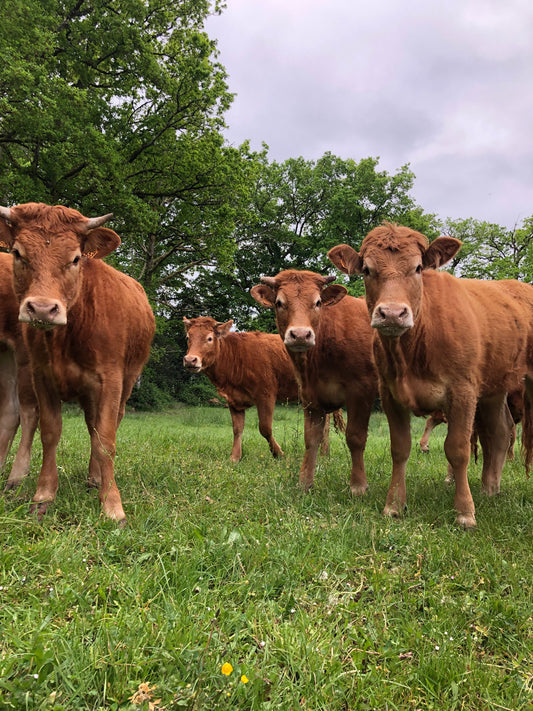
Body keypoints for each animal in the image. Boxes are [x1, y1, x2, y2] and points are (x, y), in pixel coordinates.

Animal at [0, 202, 156, 523]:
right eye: (18, 253)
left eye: (75, 258)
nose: (42, 309)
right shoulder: (42, 376)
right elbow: (50, 433)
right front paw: (43, 495)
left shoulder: (110, 381)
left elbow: (107, 440)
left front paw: (112, 505)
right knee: (90, 426)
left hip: (126, 382)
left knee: (105, 428)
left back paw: (97, 479)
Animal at [251, 270, 378, 494]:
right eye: (279, 302)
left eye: (318, 302)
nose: (300, 334)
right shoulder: (309, 394)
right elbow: (311, 439)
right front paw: (304, 483)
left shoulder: (362, 391)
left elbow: (355, 437)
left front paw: (358, 486)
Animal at [328, 222, 533, 529]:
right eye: (366, 269)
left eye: (417, 268)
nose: (392, 313)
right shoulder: (389, 393)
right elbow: (399, 448)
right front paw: (393, 505)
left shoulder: (462, 391)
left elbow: (457, 449)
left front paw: (465, 512)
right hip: (494, 387)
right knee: (500, 430)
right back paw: (489, 488)